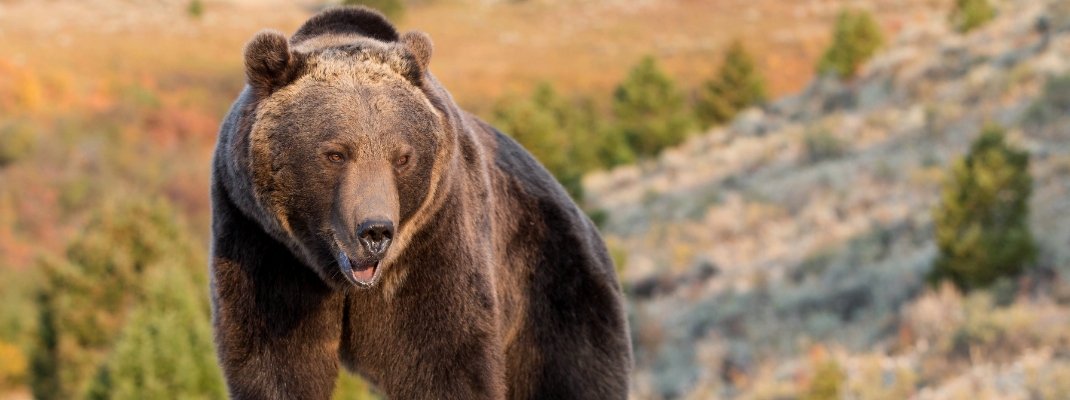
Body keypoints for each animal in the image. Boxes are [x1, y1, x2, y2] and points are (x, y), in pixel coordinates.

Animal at [208, 6, 629, 400]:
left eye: (402, 157)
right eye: (335, 154)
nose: (376, 231)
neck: (339, 279)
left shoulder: (434, 241)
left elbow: (445, 361)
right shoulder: (262, 242)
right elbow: (275, 361)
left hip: (552, 290)